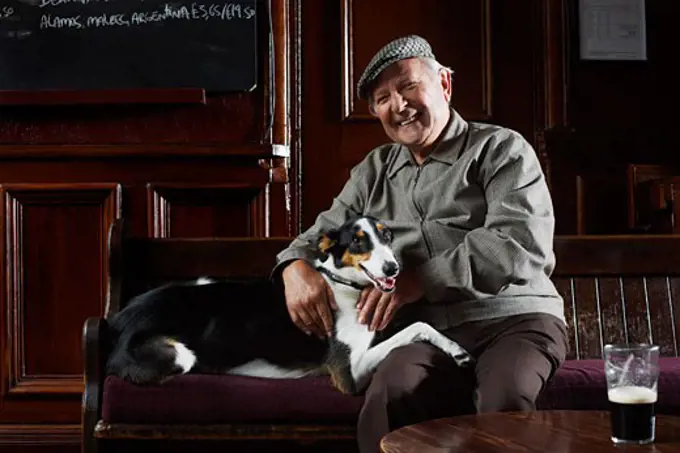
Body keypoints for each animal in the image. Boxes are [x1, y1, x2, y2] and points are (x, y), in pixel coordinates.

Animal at [107, 215, 472, 392]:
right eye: (357, 241)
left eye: (386, 236)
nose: (392, 268)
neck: (343, 285)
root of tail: (117, 318)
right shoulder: (348, 375)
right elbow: (409, 331)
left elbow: (419, 325)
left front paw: (457, 350)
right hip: (180, 355)